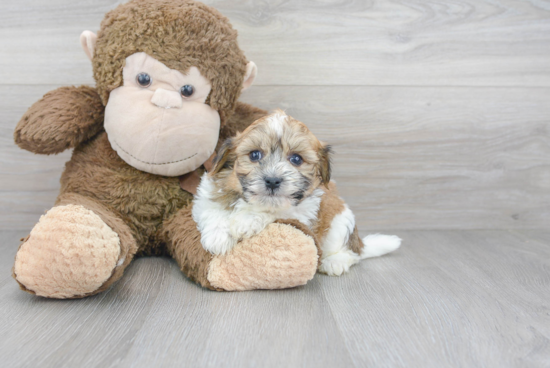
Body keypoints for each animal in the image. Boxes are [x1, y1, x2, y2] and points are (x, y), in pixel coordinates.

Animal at [193, 110, 402, 276]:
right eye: (254, 155)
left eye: (296, 159)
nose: (272, 180)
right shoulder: (206, 193)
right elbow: (211, 208)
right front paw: (217, 237)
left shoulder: (303, 210)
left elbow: (275, 211)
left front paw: (247, 220)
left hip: (341, 222)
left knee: (352, 253)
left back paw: (336, 261)